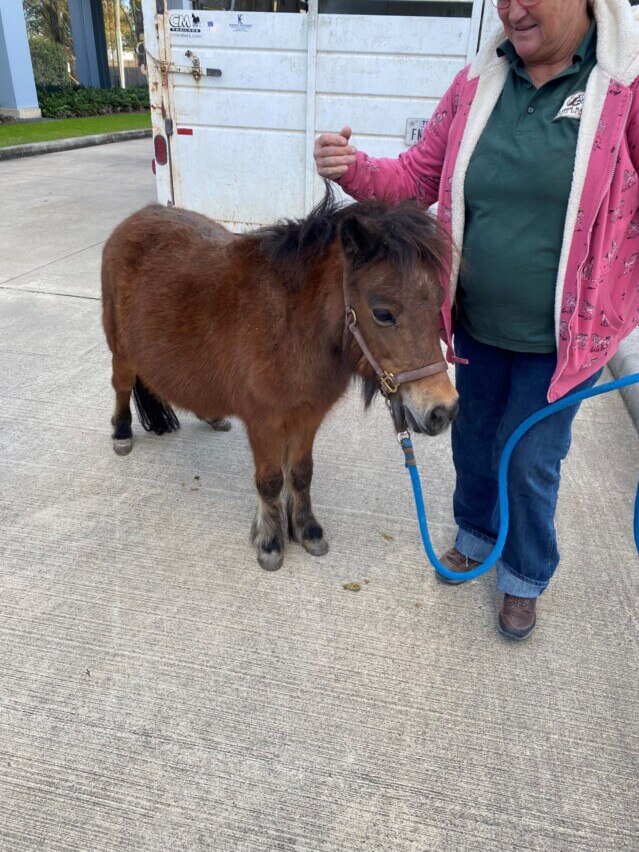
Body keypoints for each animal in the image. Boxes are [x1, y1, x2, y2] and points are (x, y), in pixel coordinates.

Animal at [101, 188, 459, 571]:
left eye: (439, 303)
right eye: (383, 313)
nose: (443, 410)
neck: (291, 326)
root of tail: (136, 219)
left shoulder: (308, 416)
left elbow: (301, 473)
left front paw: (306, 530)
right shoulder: (265, 421)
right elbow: (271, 481)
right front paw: (270, 540)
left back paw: (212, 417)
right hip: (122, 351)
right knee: (122, 386)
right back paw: (122, 433)